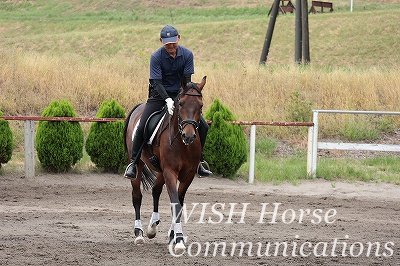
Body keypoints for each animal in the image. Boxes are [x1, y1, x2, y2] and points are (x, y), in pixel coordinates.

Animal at [124, 76, 206, 252]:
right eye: (180, 103)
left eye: (201, 105)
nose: (189, 136)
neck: (182, 144)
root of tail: (139, 107)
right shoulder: (170, 172)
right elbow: (175, 204)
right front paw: (179, 240)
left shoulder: (188, 175)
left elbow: (178, 204)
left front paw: (173, 236)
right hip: (139, 164)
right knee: (137, 196)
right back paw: (139, 233)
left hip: (161, 171)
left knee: (156, 190)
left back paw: (152, 227)